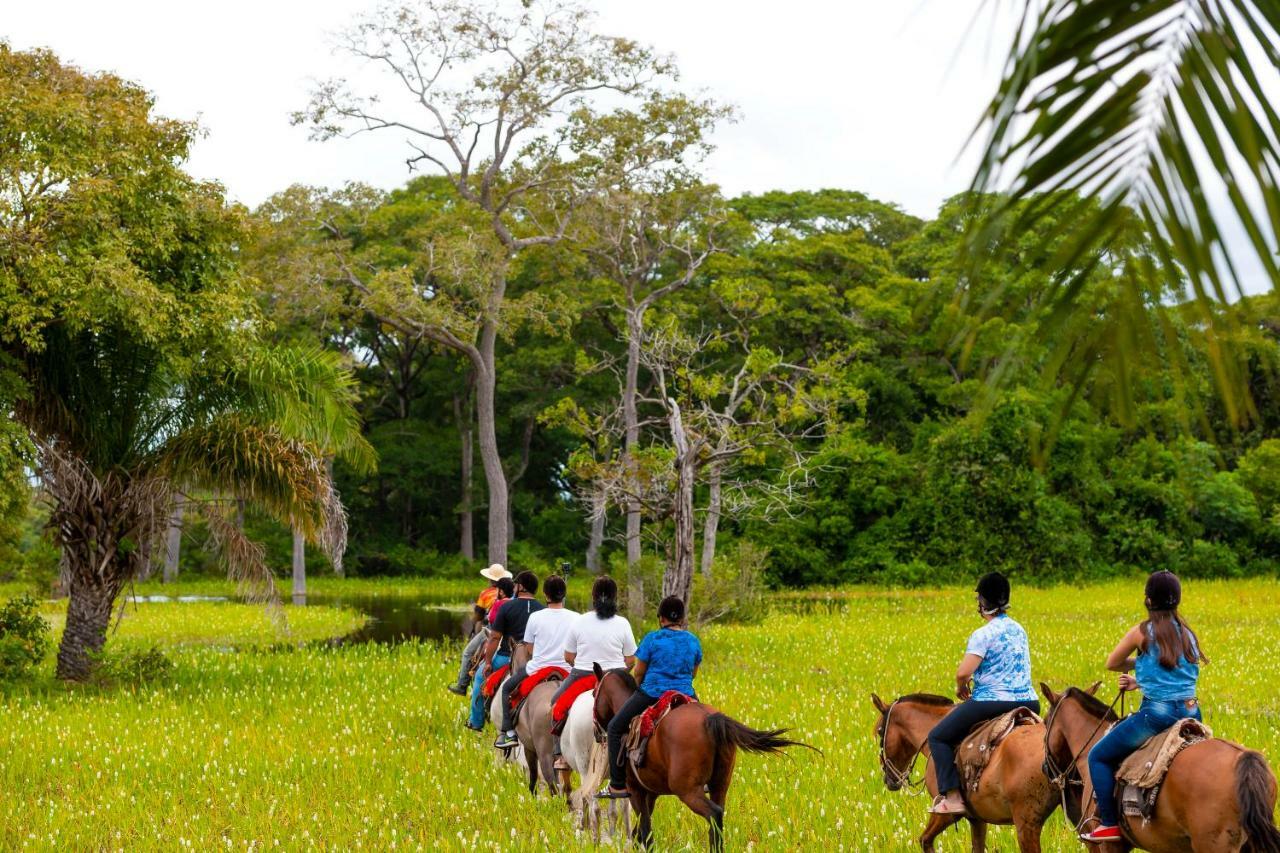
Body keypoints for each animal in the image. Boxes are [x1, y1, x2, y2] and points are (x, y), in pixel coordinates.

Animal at [588, 660, 808, 845]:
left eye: (593, 694)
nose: (597, 733)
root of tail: (709, 719)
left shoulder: (636, 791)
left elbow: (645, 833)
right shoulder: (651, 793)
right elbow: (639, 834)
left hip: (687, 790)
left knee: (714, 814)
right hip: (720, 785)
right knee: (718, 818)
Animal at [870, 686, 1070, 845]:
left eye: (880, 731)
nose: (889, 780)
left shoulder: (946, 814)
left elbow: (925, 840)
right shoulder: (977, 820)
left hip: (1026, 823)